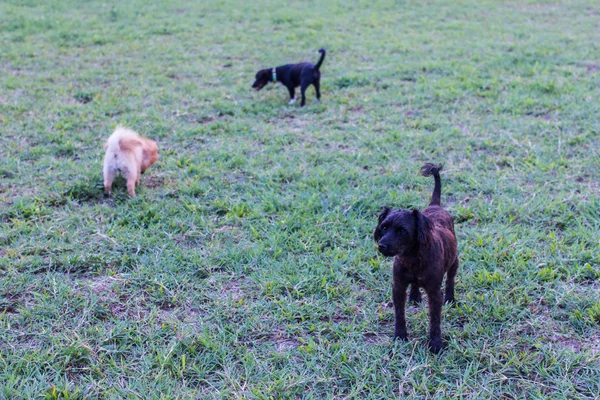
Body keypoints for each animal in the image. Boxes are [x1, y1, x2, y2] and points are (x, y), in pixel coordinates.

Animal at [376, 162, 460, 354]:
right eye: (384, 227)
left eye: (402, 231)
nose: (381, 245)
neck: (412, 258)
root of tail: (435, 205)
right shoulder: (398, 286)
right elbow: (399, 313)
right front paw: (400, 336)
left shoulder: (434, 292)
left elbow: (435, 320)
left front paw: (435, 344)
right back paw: (414, 296)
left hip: (454, 261)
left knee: (450, 280)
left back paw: (450, 299)